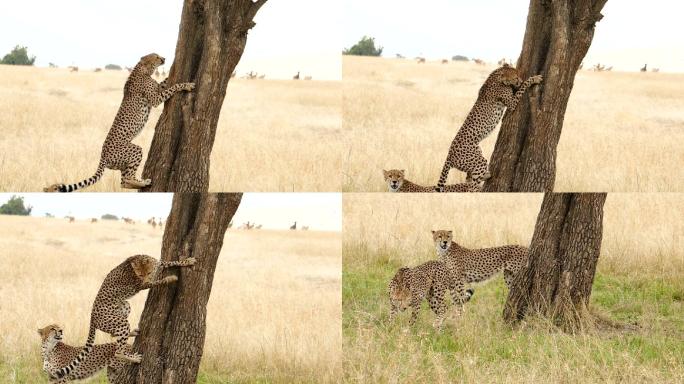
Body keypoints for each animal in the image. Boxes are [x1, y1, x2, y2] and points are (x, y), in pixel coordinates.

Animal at [43, 53, 195, 191]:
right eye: (156, 56)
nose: (164, 58)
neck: (141, 69)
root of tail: (102, 156)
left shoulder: (158, 88)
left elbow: (164, 82)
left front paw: (171, 76)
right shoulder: (156, 99)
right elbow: (173, 87)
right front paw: (187, 85)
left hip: (123, 163)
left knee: (123, 182)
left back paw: (139, 183)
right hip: (133, 150)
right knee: (127, 178)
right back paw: (143, 182)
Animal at [53, 254, 195, 380]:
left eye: (148, 273)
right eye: (140, 275)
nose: (146, 279)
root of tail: (91, 317)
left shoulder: (157, 263)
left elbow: (170, 262)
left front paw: (188, 261)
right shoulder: (142, 285)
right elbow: (157, 281)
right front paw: (170, 278)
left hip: (124, 306)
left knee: (114, 334)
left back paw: (134, 332)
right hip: (119, 322)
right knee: (118, 350)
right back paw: (134, 358)